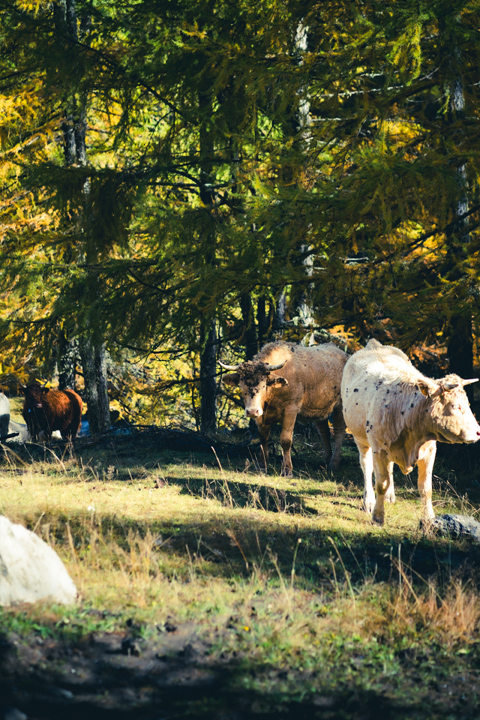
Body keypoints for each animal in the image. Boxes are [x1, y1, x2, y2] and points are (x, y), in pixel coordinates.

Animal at [220, 341, 348, 476]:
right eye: (241, 386)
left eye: (264, 385)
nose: (252, 411)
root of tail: (344, 355)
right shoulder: (262, 415)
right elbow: (263, 437)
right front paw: (261, 466)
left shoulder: (290, 409)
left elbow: (286, 440)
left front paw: (287, 470)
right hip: (319, 408)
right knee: (324, 431)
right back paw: (327, 460)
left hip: (340, 406)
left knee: (339, 431)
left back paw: (334, 464)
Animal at [341, 338, 480, 525]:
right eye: (455, 406)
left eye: (467, 403)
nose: (478, 432)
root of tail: (374, 345)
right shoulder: (379, 449)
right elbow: (381, 484)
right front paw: (378, 516)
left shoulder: (430, 450)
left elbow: (425, 487)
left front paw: (429, 518)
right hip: (360, 438)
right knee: (367, 467)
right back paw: (369, 501)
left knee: (389, 469)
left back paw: (390, 496)